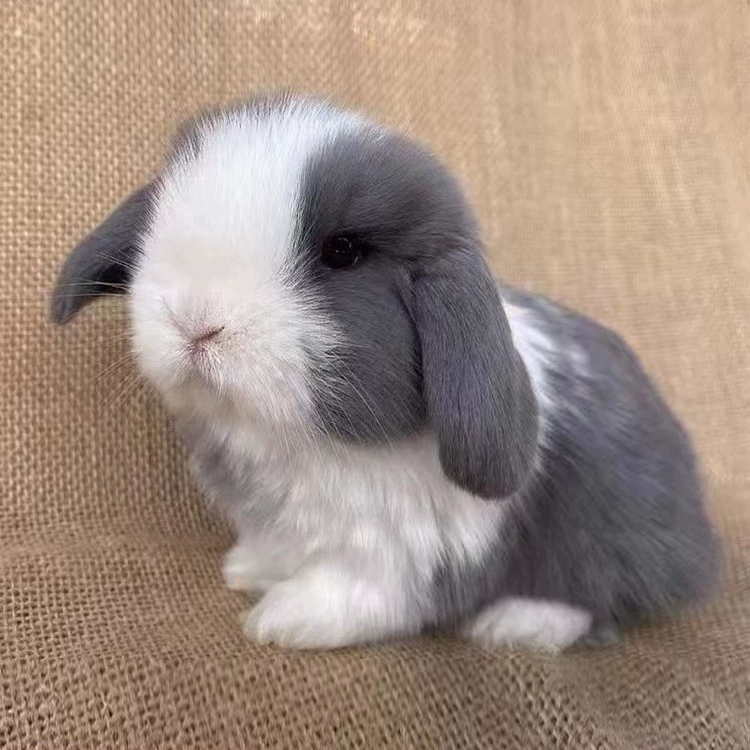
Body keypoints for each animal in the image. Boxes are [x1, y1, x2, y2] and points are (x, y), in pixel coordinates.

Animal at [52, 94, 718, 652]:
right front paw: (247, 569)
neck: (295, 444)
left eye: (343, 252)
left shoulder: (403, 552)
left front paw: (282, 619)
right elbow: (277, 546)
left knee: (599, 598)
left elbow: (356, 593)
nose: (196, 322)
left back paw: (517, 624)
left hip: (608, 539)